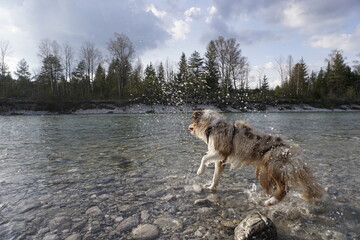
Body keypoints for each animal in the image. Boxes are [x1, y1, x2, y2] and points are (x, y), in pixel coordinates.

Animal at [188, 109, 324, 205]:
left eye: (192, 120)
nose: (188, 127)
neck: (213, 125)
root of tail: (297, 153)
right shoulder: (221, 160)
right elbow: (216, 176)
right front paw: (211, 188)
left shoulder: (222, 151)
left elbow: (204, 158)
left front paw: (200, 171)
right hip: (265, 171)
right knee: (273, 187)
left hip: (273, 162)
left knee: (284, 188)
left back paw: (270, 202)